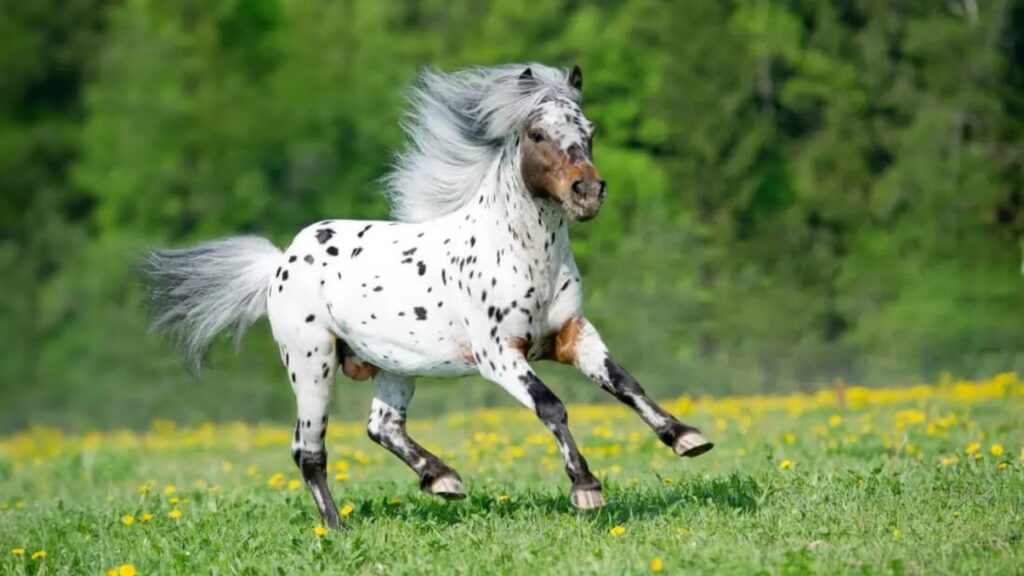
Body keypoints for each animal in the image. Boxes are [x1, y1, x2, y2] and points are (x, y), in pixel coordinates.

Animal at [144, 63, 713, 528]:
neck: (521, 255)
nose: (588, 193)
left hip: (394, 365)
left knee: (382, 427)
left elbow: (624, 383)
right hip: (311, 364)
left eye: (589, 132)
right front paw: (586, 488)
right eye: (537, 133)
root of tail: (281, 261)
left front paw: (686, 438)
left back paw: (443, 479)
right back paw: (338, 529)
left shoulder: (573, 335)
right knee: (308, 451)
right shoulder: (498, 356)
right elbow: (552, 406)